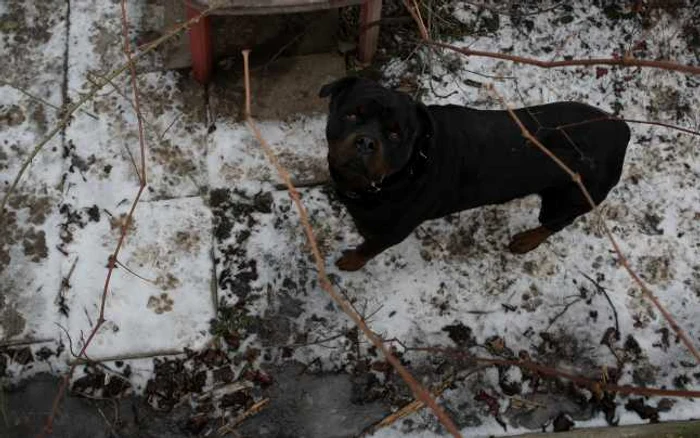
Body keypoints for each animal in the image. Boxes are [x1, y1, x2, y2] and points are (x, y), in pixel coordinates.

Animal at [320, 77, 632, 272]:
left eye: (395, 134)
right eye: (351, 115)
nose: (366, 142)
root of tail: (623, 130)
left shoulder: (394, 231)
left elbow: (368, 248)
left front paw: (351, 262)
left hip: (569, 198)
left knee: (555, 223)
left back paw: (527, 240)